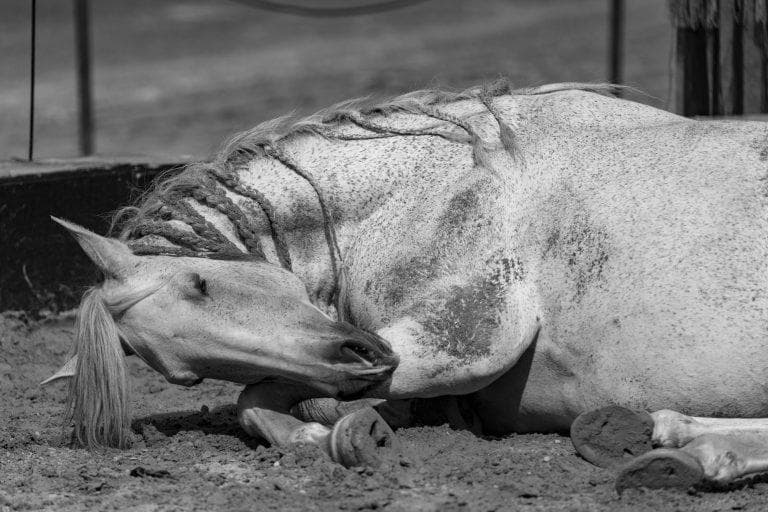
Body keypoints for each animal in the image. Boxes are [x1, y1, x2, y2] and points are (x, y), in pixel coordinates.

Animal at [43, 79, 768, 490]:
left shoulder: (463, 342)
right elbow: (261, 402)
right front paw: (326, 437)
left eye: (200, 283)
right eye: (183, 375)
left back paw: (693, 450)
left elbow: (265, 397)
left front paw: (346, 435)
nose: (362, 355)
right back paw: (672, 439)